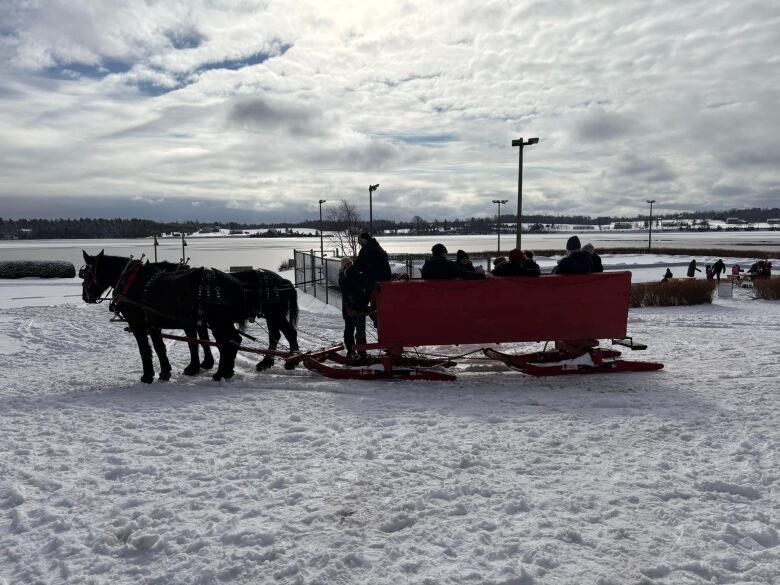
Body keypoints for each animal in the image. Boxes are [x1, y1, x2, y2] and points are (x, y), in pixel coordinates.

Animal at [82, 251, 247, 384]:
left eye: (87, 273)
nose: (85, 297)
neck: (130, 281)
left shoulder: (137, 323)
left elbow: (145, 349)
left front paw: (147, 376)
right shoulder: (153, 325)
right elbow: (160, 347)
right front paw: (165, 372)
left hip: (218, 322)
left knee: (227, 343)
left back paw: (220, 373)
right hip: (221, 322)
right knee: (233, 340)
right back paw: (226, 371)